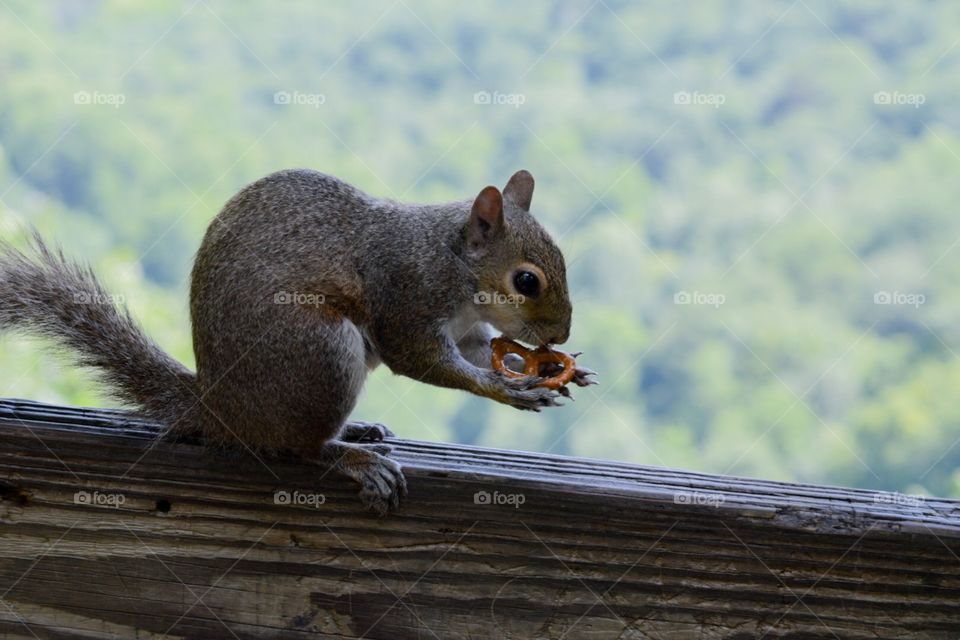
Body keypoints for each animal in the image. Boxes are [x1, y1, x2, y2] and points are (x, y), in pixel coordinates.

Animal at [0, 168, 595, 514]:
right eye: (526, 281)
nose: (560, 334)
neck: (452, 263)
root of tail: (221, 415)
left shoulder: (467, 329)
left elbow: (477, 352)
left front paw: (552, 369)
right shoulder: (407, 295)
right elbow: (423, 360)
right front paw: (508, 389)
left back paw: (358, 431)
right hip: (320, 354)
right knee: (298, 448)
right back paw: (352, 456)